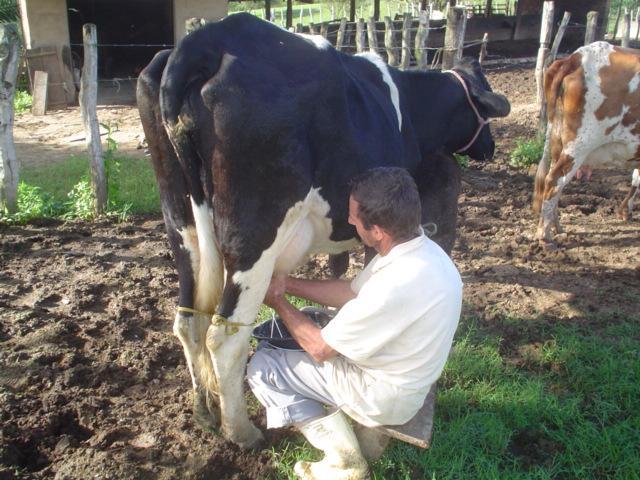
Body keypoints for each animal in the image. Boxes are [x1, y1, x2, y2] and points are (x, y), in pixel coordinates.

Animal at [136, 15, 510, 450]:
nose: (490, 147)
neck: (407, 107)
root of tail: (205, 39)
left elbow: (337, 272)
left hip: (181, 227)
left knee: (187, 320)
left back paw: (204, 413)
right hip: (254, 240)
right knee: (224, 338)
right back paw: (242, 432)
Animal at [532, 40, 640, 244]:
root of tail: (576, 57)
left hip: (558, 141)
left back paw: (556, 227)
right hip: (580, 144)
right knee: (553, 180)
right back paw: (545, 236)